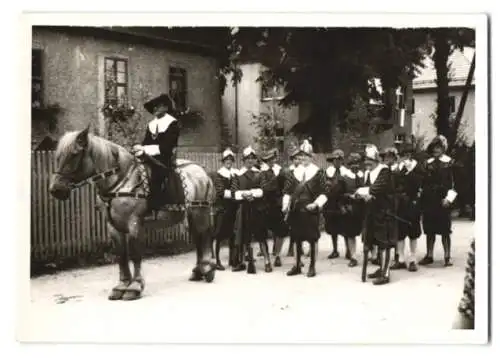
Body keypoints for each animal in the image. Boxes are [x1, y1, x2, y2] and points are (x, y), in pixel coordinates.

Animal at [48, 127, 217, 300]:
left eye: (74, 154)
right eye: (58, 156)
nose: (56, 190)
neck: (121, 181)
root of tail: (202, 171)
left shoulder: (134, 223)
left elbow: (135, 253)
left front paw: (135, 286)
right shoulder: (113, 226)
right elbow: (121, 255)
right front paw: (121, 285)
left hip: (200, 212)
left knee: (204, 237)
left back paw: (207, 269)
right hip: (191, 216)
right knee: (198, 239)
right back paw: (198, 271)